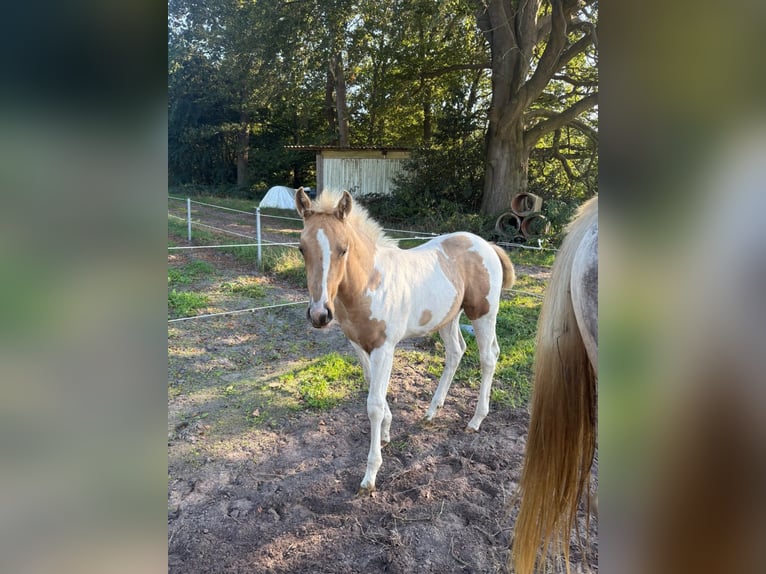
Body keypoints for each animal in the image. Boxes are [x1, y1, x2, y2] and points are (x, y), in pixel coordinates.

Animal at [294, 187, 516, 495]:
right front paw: (386, 433)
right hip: (448, 317)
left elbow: (374, 404)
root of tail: (487, 245)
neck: (369, 284)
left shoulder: (384, 348)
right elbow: (372, 387)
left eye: (343, 248)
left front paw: (370, 475)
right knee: (456, 352)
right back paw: (432, 411)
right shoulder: (358, 344)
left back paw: (476, 420)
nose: (319, 314)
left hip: (483, 313)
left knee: (488, 356)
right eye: (302, 248)